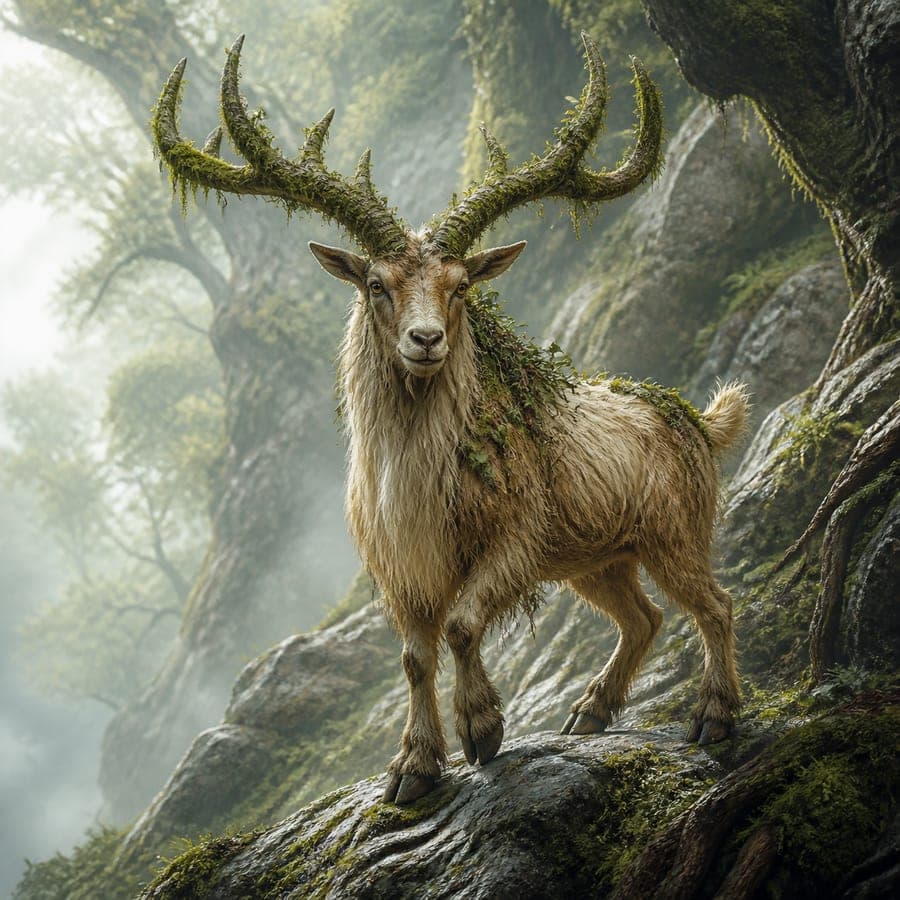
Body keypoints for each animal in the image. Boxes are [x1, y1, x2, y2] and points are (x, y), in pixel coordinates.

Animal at [154, 33, 749, 805]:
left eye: (460, 285)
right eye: (377, 284)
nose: (426, 339)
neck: (418, 486)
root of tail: (699, 421)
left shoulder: (515, 541)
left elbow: (464, 625)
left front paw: (482, 732)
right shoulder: (400, 571)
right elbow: (412, 657)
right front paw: (412, 768)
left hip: (673, 530)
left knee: (714, 604)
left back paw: (714, 716)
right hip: (599, 559)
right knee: (643, 616)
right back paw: (589, 712)